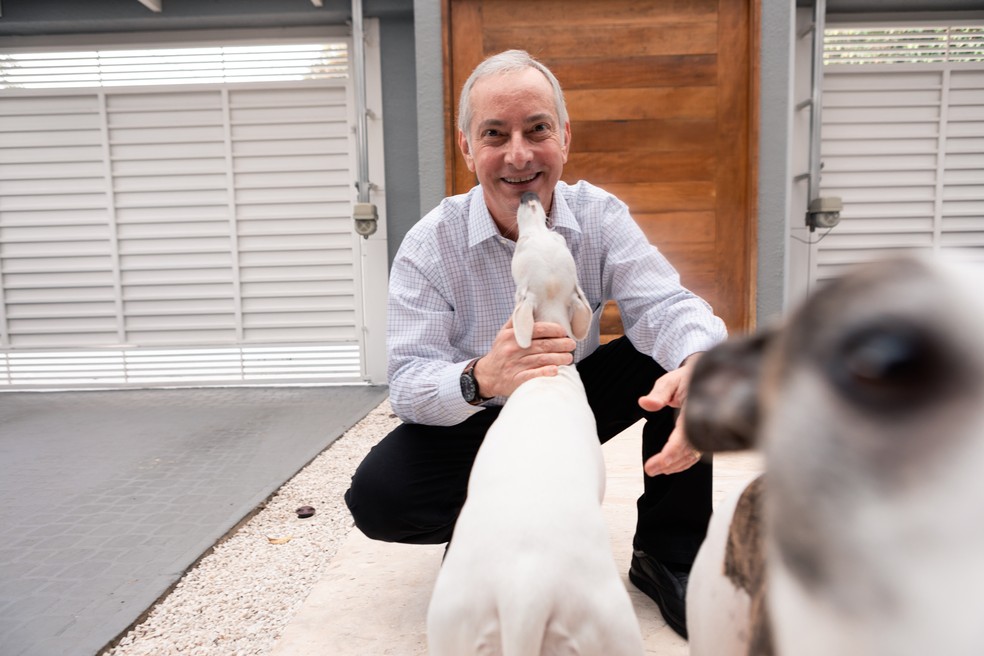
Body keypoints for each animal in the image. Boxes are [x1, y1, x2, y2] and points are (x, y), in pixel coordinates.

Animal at [424, 192, 644, 652]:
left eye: (552, 235)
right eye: (533, 237)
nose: (527, 199)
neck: (547, 378)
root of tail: (524, 594)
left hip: (455, 625)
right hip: (609, 627)